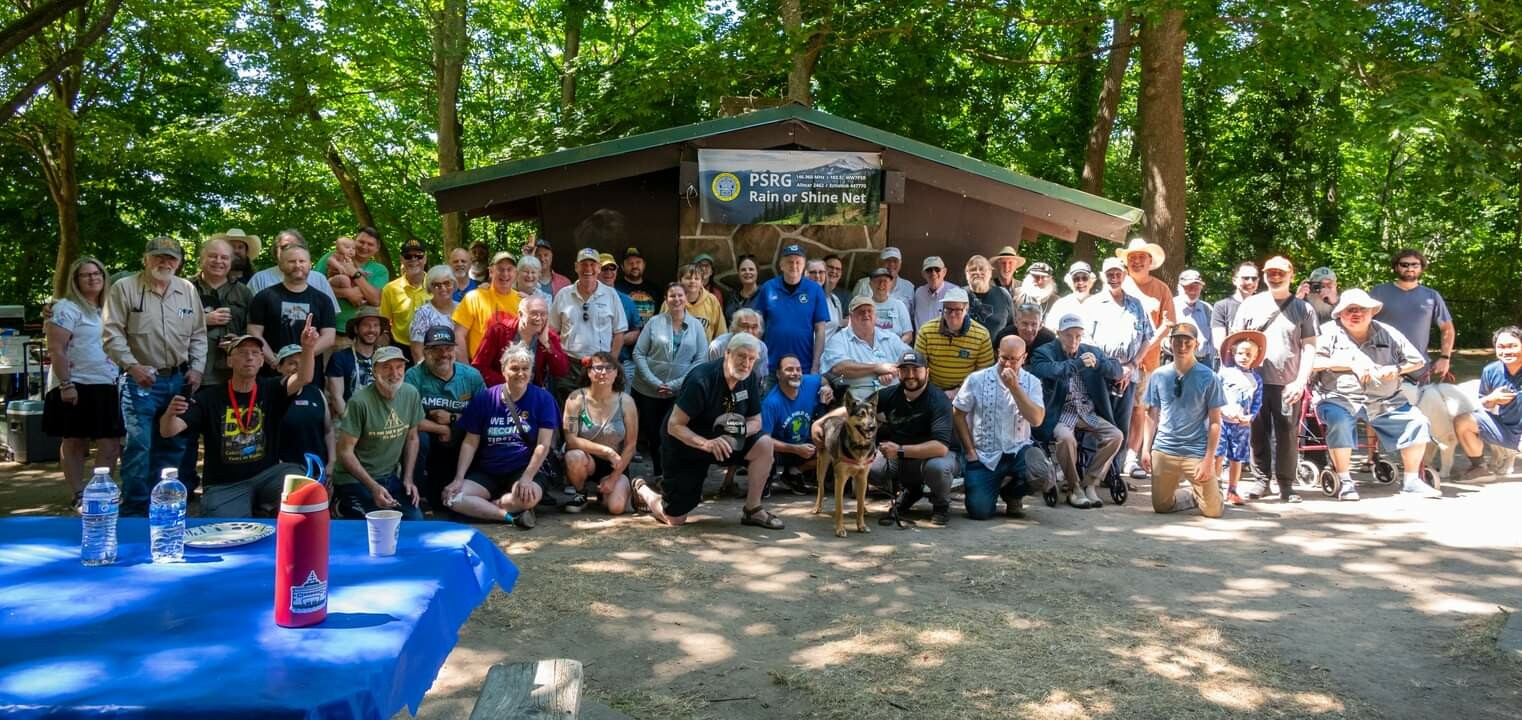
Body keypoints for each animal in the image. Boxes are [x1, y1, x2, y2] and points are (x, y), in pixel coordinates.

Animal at [812, 391, 878, 538]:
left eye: (872, 415)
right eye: (861, 414)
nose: (872, 427)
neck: (859, 446)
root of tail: (830, 417)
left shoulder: (862, 477)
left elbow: (859, 505)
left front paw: (861, 526)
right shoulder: (840, 479)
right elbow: (839, 507)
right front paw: (840, 529)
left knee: (860, 498)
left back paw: (865, 508)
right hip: (822, 464)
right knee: (821, 487)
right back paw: (817, 507)